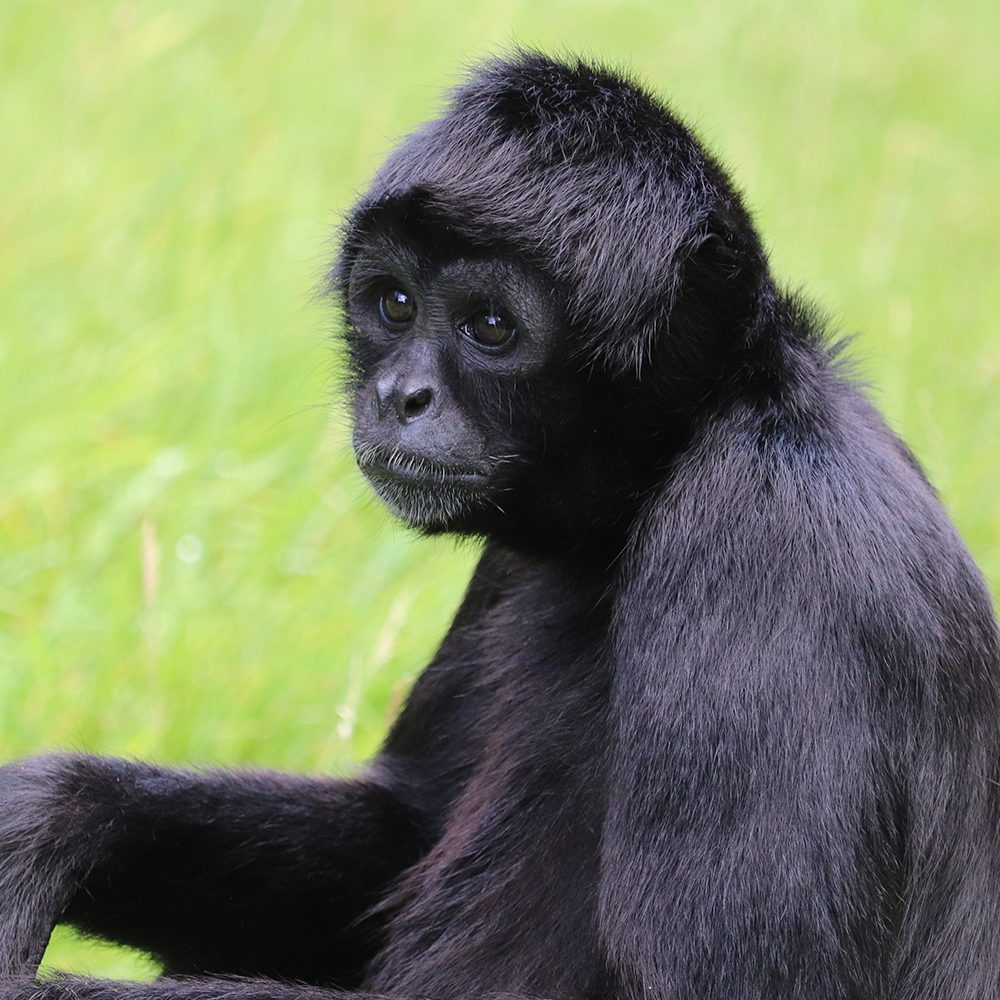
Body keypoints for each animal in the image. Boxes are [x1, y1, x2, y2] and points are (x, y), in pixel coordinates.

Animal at [1, 52, 1000, 1000]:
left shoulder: (765, 539)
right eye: (394, 303)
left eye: (488, 326)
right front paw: (48, 812)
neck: (692, 438)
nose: (399, 395)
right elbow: (397, 830)